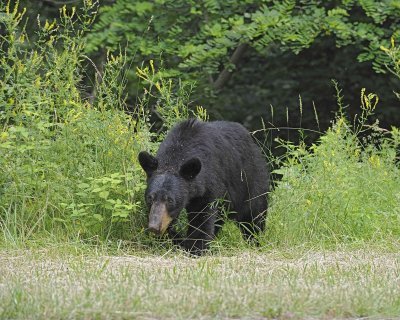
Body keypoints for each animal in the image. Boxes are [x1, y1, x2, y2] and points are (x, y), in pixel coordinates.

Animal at [138, 118, 268, 255]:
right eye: (150, 198)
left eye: (170, 200)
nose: (154, 227)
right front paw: (176, 240)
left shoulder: (209, 183)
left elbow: (201, 217)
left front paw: (195, 248)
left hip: (250, 180)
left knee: (253, 215)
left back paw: (255, 241)